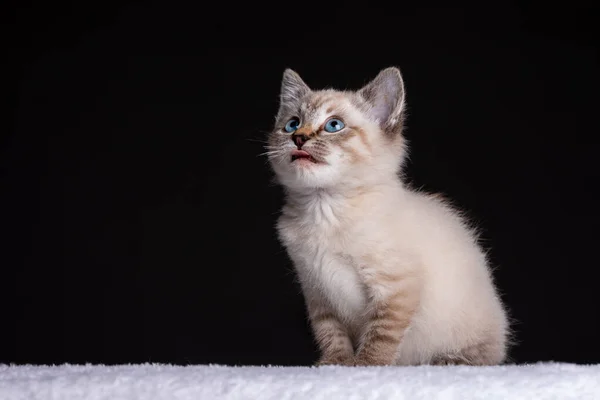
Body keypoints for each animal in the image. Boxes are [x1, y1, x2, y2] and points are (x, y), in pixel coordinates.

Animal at [268, 66, 510, 366]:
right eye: (292, 124)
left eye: (334, 125)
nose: (298, 137)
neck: (324, 209)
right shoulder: (316, 290)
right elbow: (330, 333)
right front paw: (334, 363)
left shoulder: (396, 288)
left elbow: (381, 334)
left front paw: (366, 365)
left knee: (484, 355)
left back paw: (447, 360)